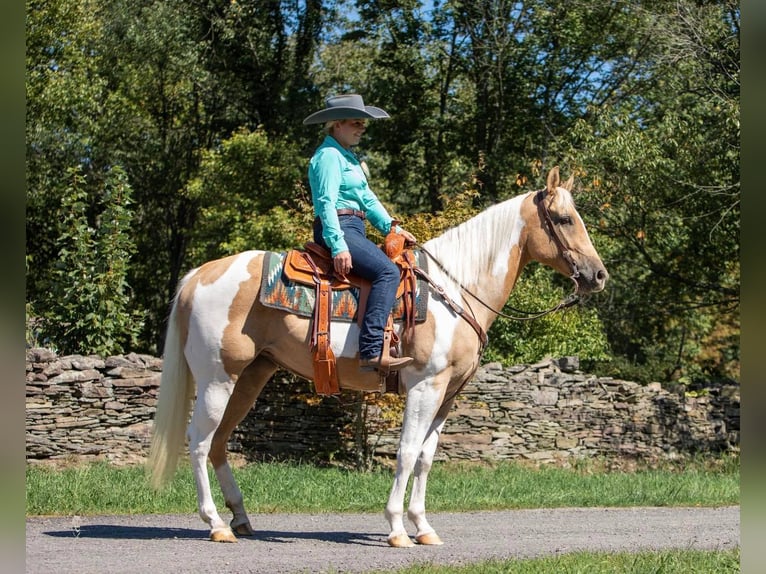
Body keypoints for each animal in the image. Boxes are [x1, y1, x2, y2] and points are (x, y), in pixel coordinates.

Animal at [147, 165, 608, 548]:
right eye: (564, 219)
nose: (599, 275)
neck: (454, 291)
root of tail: (198, 275)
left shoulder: (448, 394)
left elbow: (425, 457)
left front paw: (424, 528)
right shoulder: (424, 386)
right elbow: (406, 452)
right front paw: (397, 529)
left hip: (250, 378)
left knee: (219, 442)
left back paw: (241, 519)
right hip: (217, 379)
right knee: (199, 441)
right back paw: (216, 524)